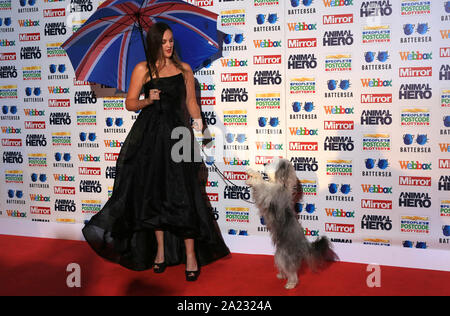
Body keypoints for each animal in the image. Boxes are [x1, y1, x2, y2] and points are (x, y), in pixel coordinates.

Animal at [246, 158, 338, 288]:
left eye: (272, 164)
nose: (264, 163)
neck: (281, 184)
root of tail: (304, 245)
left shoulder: (269, 193)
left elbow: (262, 184)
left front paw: (253, 174)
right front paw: (250, 178)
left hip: (284, 255)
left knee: (292, 270)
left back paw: (291, 283)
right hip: (279, 255)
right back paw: (282, 275)